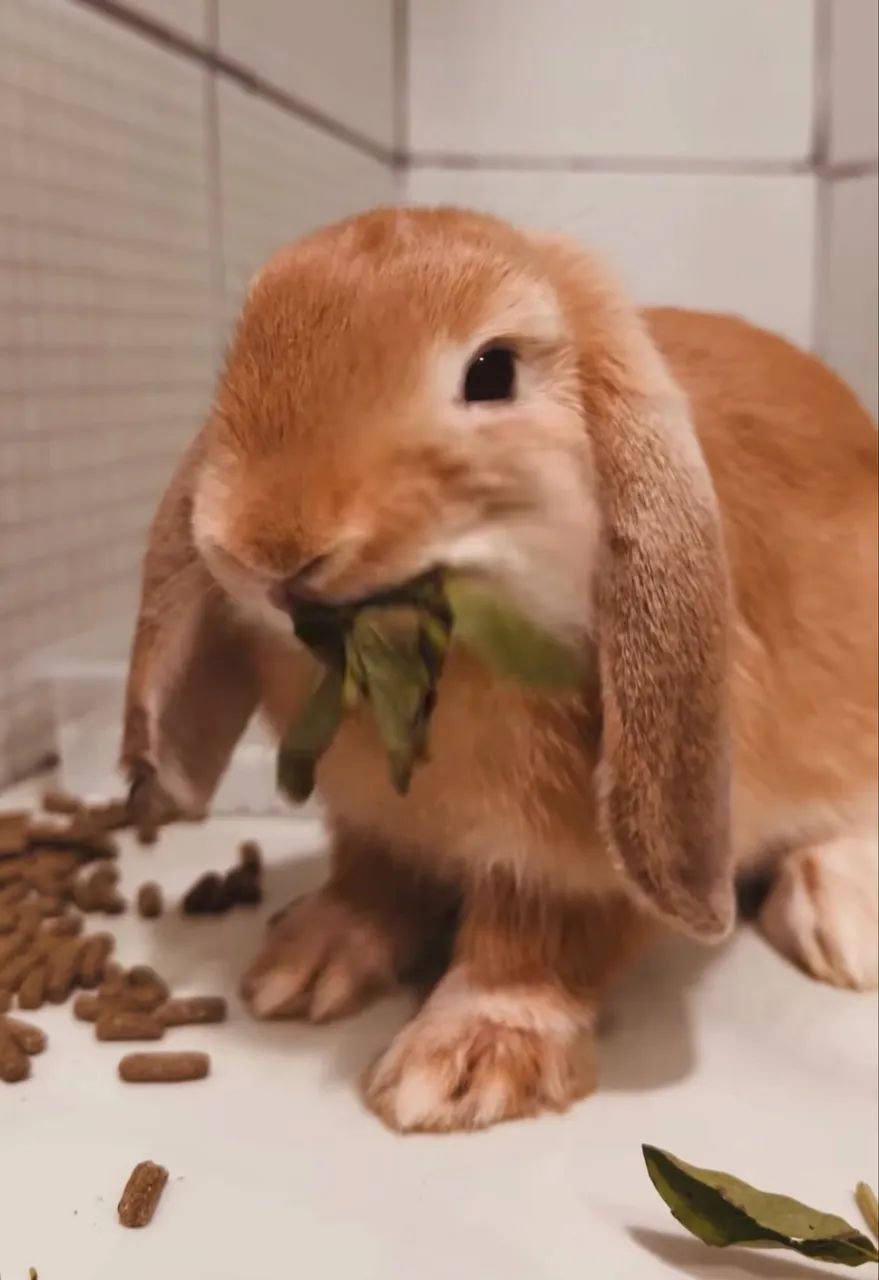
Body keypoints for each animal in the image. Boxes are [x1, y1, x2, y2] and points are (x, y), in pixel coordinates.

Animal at [122, 206, 878, 1133]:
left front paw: (461, 1065)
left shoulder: (573, 866)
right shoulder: (376, 826)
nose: (266, 545)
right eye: (244, 348)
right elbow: (371, 880)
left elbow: (534, 947)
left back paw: (838, 921)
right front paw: (302, 965)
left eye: (491, 372)